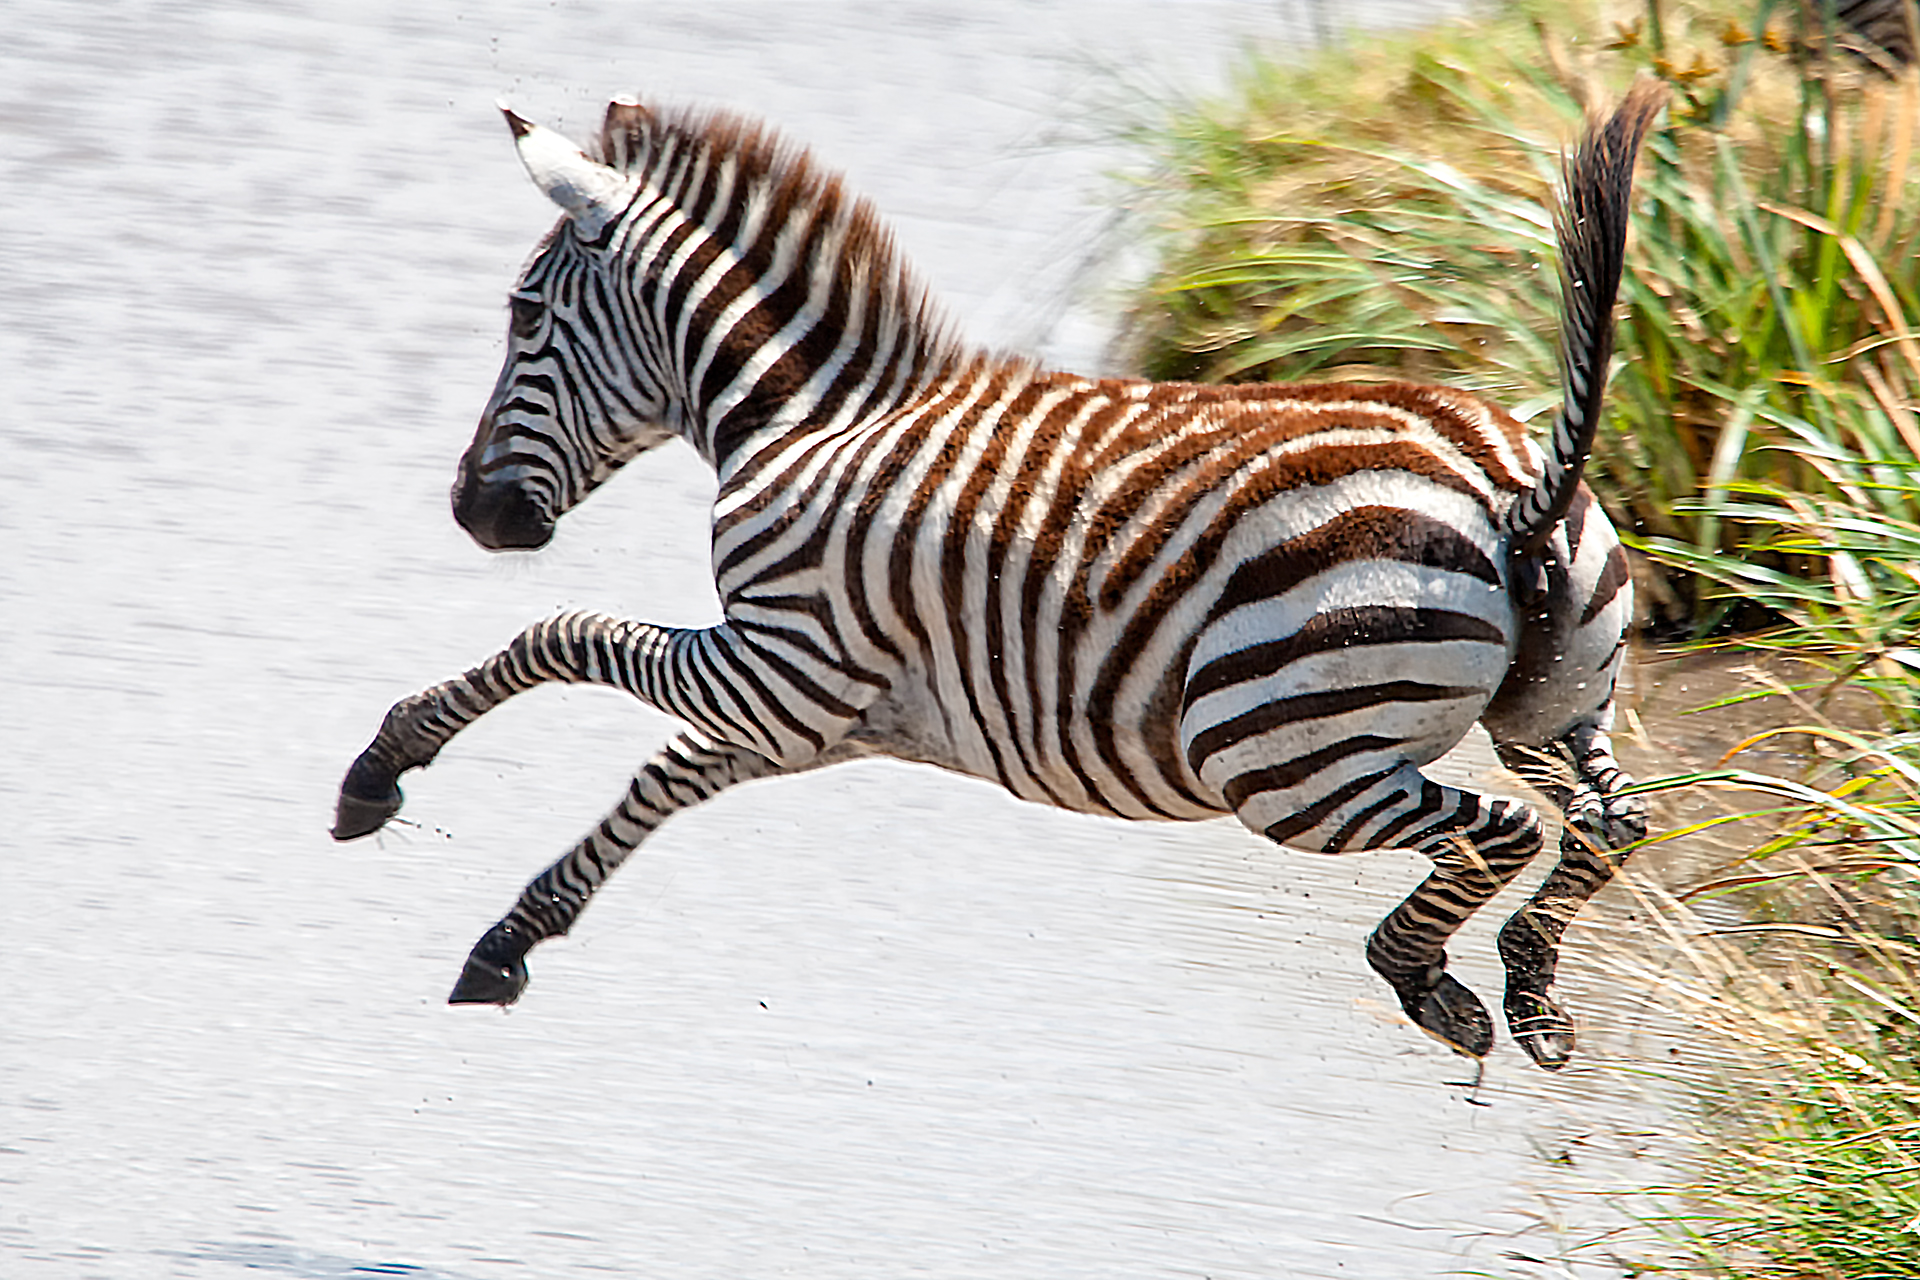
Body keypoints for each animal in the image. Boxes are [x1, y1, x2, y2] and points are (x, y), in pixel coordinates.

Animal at [334, 80, 1665, 1071]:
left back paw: (1425, 976)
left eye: (520, 314)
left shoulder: (783, 663)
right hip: (1554, 704)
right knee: (1614, 822)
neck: (809, 420)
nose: (474, 514)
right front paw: (510, 939)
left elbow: (560, 635)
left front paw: (384, 764)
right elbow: (657, 780)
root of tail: (1505, 480)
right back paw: (1531, 991)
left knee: (1502, 831)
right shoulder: (801, 708)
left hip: (1282, 757)